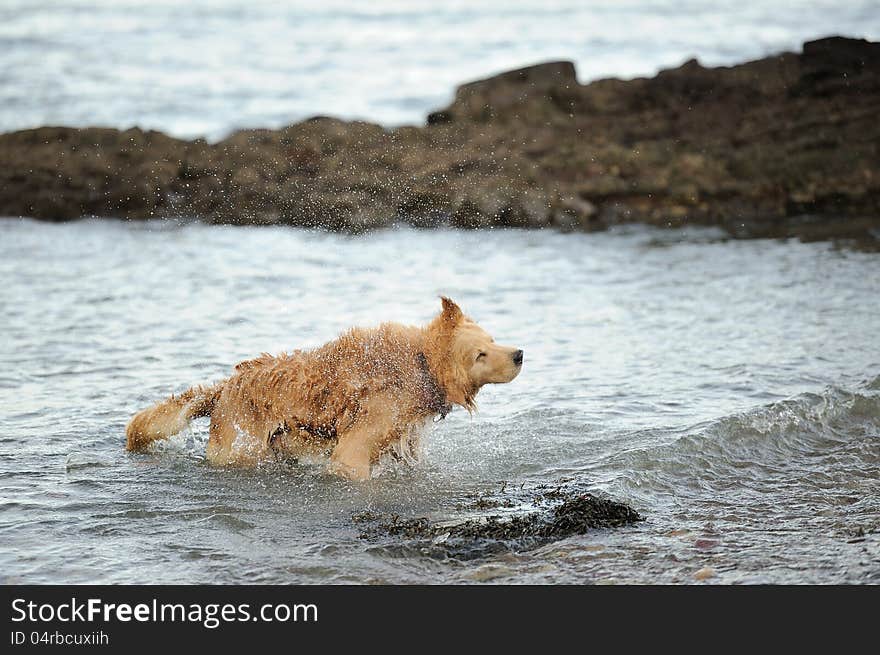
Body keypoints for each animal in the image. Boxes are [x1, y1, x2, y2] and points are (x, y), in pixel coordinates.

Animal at [124, 300, 524, 480]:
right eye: (480, 354)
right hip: (242, 447)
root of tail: (223, 388)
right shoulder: (355, 446)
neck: (421, 362)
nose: (519, 354)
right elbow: (351, 464)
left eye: (492, 339)